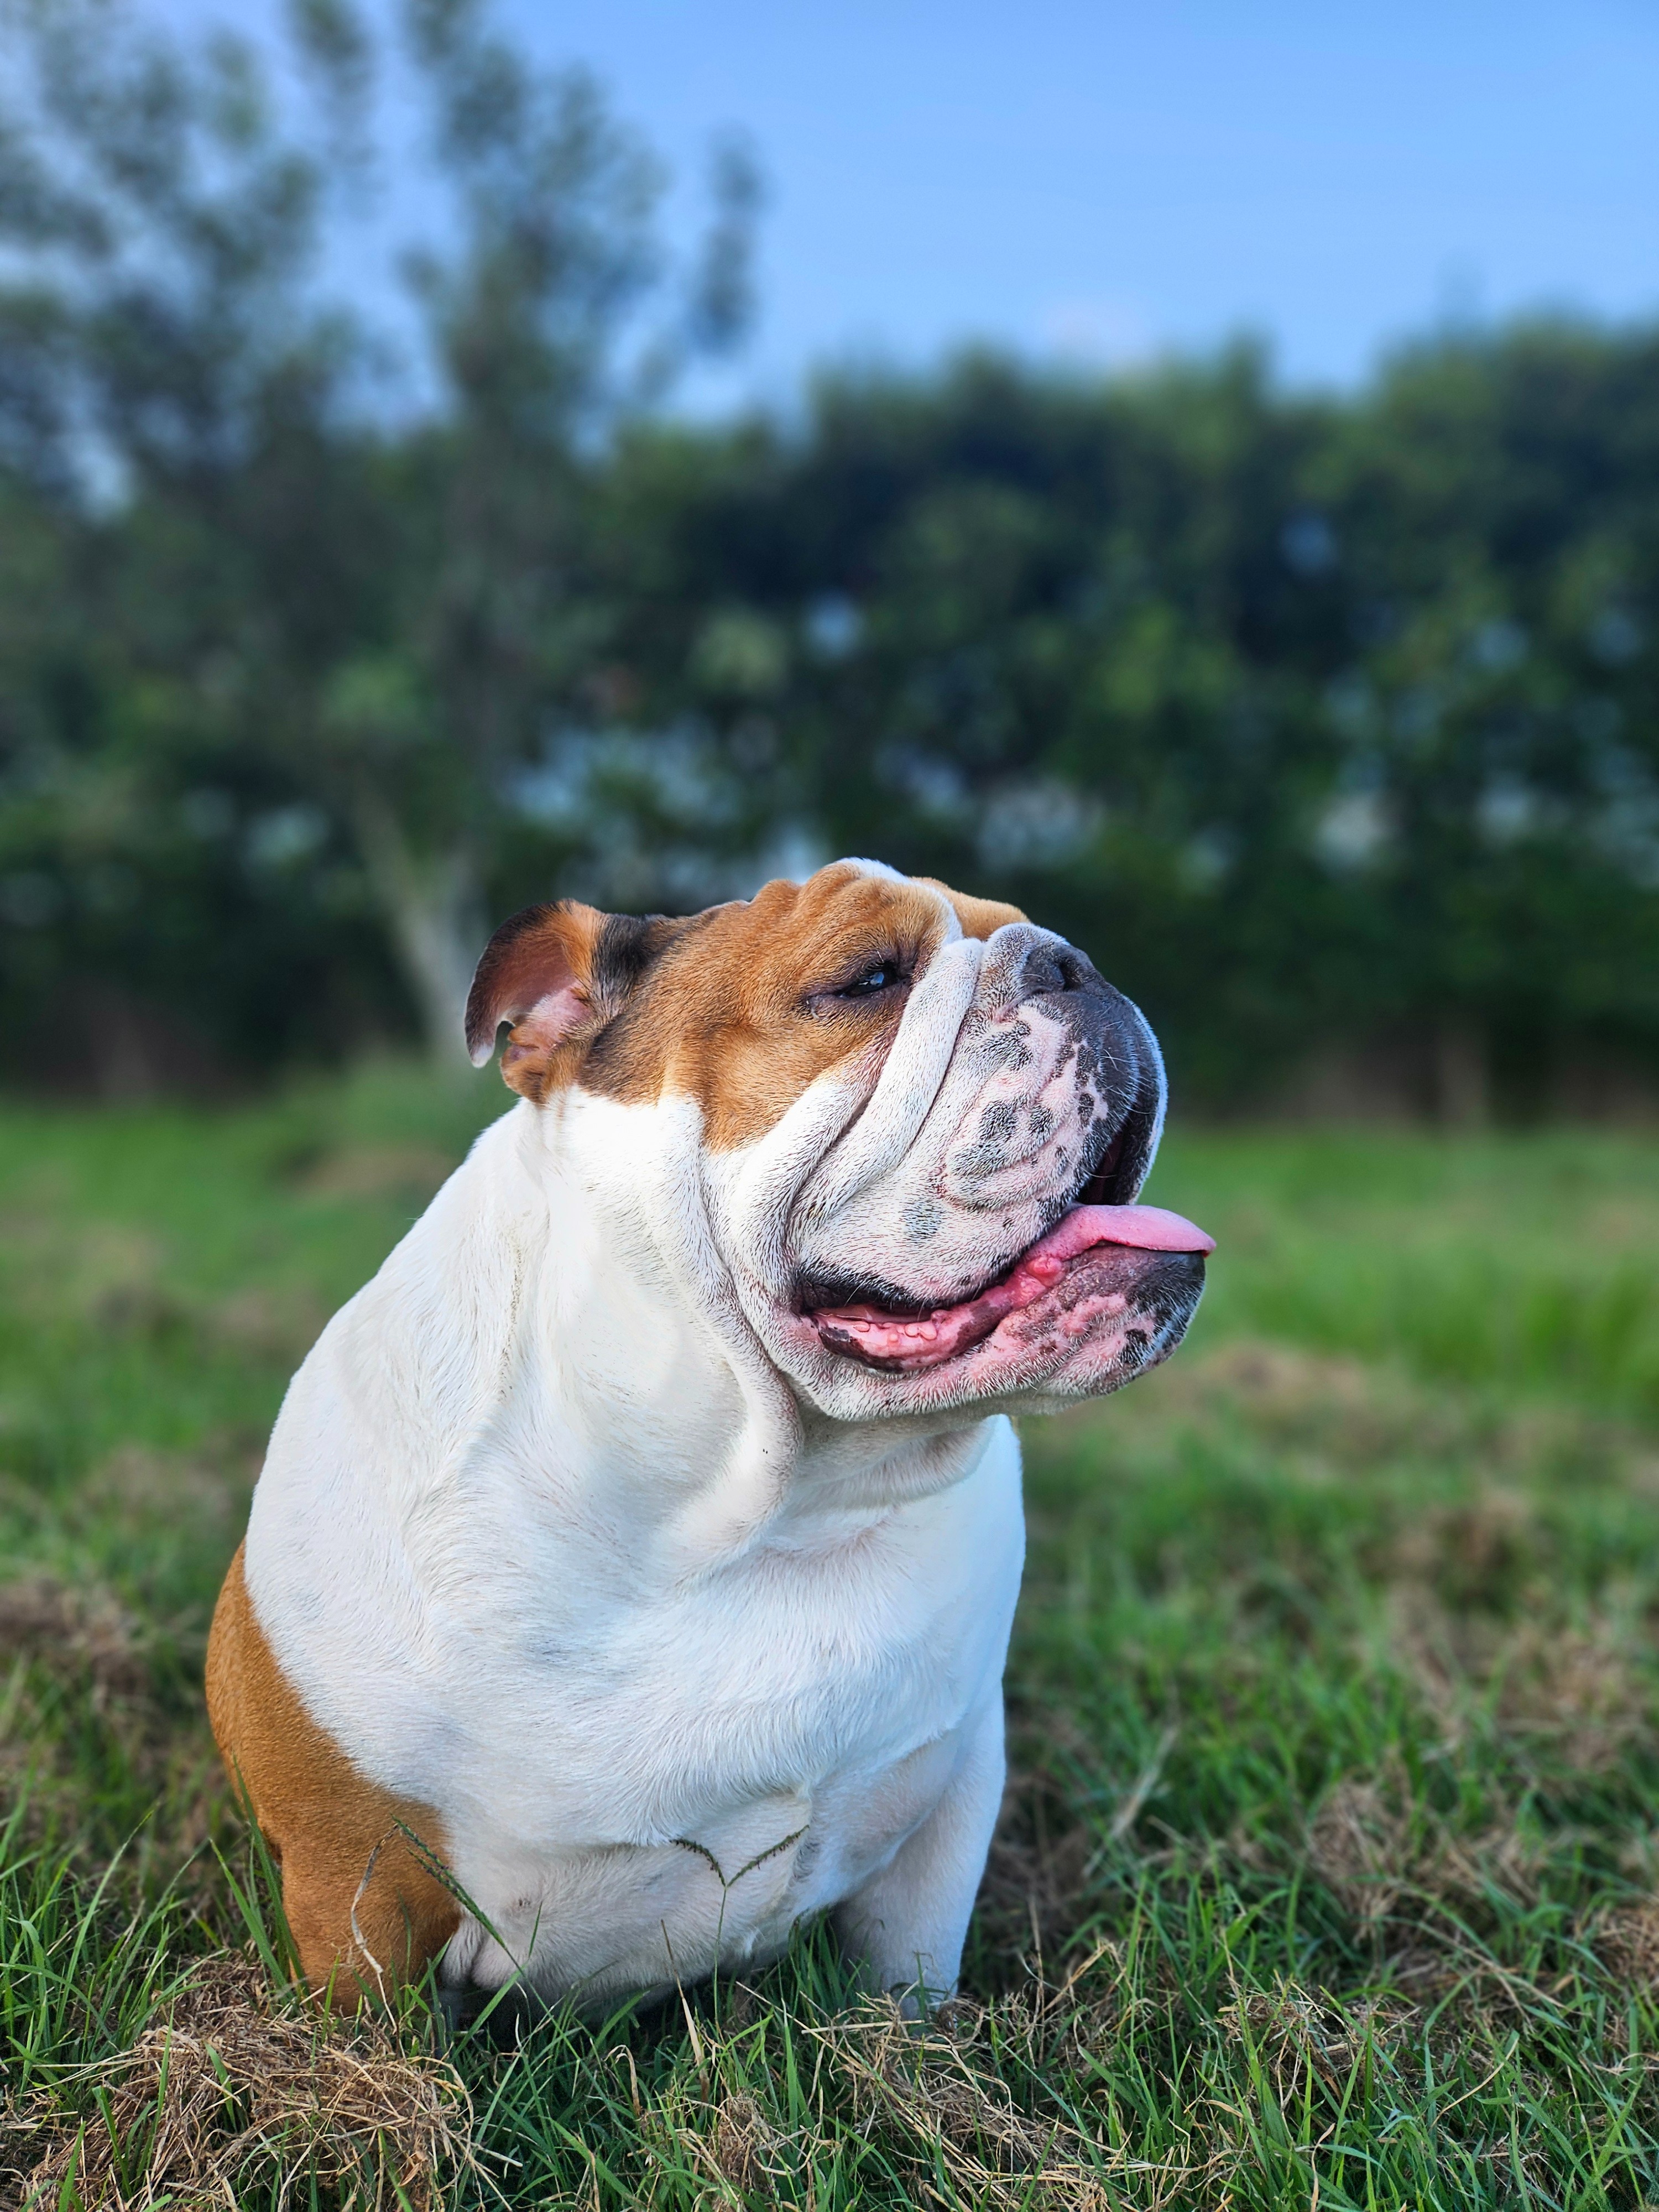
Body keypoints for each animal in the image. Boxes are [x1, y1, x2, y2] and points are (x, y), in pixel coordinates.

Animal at [207, 860, 1211, 2011]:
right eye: (868, 978)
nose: (1072, 963)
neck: (747, 1510)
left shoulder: (945, 1821)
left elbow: (908, 1978)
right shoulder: (358, 1882)